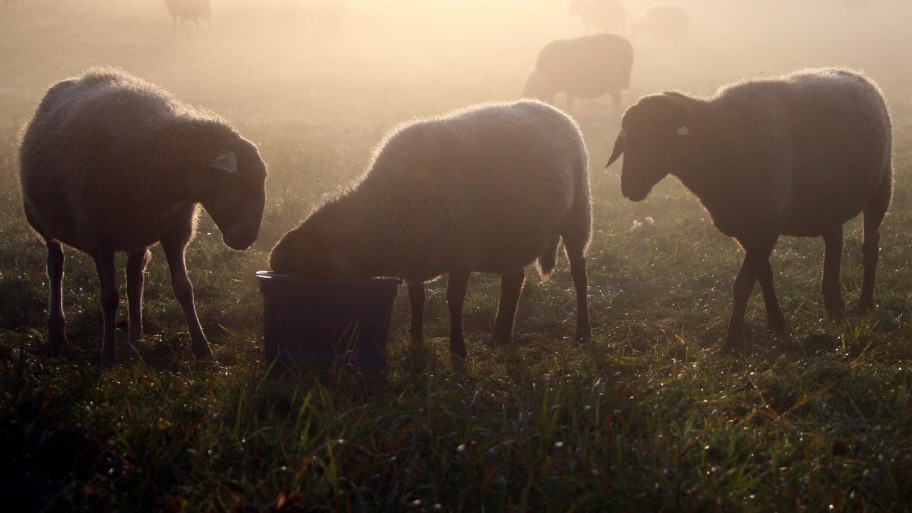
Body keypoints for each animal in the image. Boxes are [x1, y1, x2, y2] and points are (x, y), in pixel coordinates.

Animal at [18, 68, 268, 366]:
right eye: (241, 183)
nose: (247, 239)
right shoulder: (98, 236)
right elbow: (109, 297)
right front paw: (108, 357)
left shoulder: (175, 231)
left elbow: (183, 287)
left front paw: (202, 348)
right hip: (41, 220)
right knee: (56, 265)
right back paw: (57, 333)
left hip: (139, 229)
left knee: (135, 278)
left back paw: (135, 339)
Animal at [268, 99, 592, 356]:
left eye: (305, 269)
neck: (385, 215)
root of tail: (549, 108)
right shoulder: (415, 257)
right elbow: (417, 299)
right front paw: (416, 339)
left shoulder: (462, 252)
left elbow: (453, 301)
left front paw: (457, 349)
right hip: (512, 236)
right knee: (515, 280)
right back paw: (499, 338)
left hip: (578, 216)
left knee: (578, 275)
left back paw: (582, 334)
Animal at [604, 68, 892, 350]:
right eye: (628, 138)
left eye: (660, 135)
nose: (629, 187)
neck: (720, 141)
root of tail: (858, 75)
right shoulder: (746, 230)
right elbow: (764, 275)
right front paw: (776, 324)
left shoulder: (764, 226)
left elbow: (742, 285)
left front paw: (732, 342)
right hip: (826, 206)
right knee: (834, 245)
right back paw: (834, 306)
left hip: (881, 189)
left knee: (870, 246)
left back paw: (864, 304)